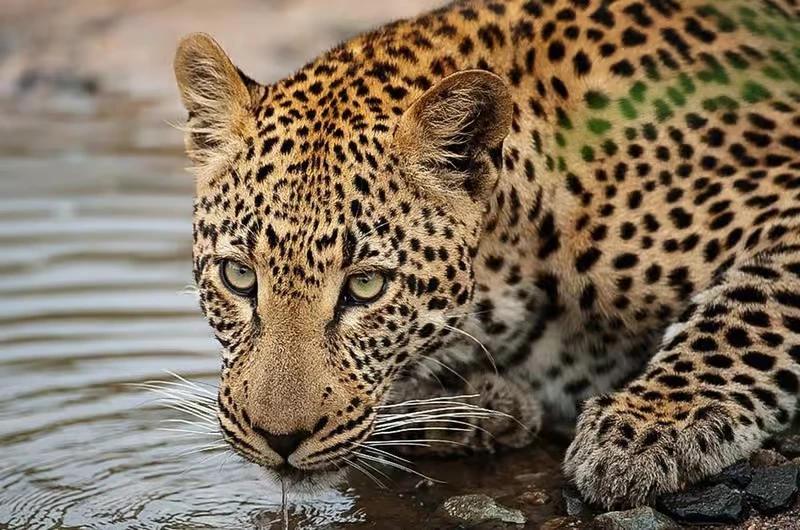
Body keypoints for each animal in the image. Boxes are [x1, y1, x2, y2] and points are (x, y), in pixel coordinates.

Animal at [173, 0, 800, 510]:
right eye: (238, 276)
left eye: (365, 287)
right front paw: (482, 410)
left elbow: (744, 312)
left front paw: (643, 429)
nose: (278, 440)